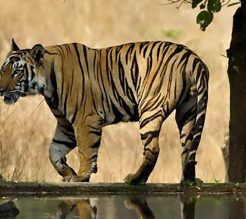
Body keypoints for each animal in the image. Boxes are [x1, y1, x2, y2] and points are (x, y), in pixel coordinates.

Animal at [0, 39, 209, 185]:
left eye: (17, 72)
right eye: (3, 70)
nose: (0, 89)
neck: (47, 85)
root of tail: (192, 57)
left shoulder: (85, 119)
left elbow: (86, 150)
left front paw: (81, 176)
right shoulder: (66, 125)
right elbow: (53, 152)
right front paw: (68, 173)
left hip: (150, 108)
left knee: (153, 149)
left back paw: (134, 179)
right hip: (188, 111)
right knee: (188, 148)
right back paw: (187, 181)